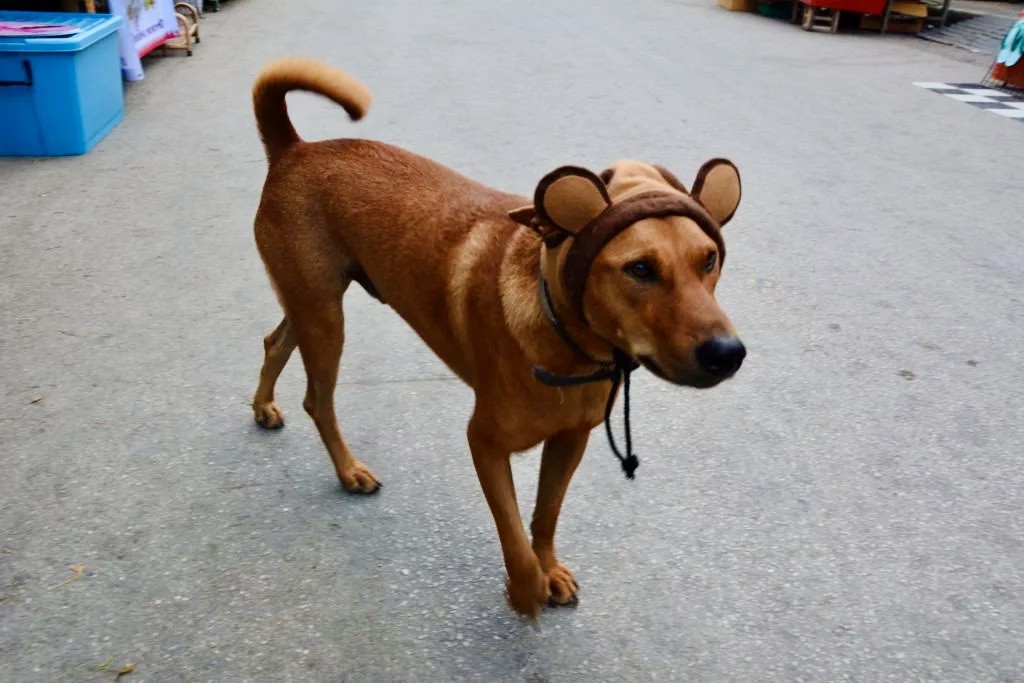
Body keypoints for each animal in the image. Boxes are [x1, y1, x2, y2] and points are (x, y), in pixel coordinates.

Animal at [247, 57, 745, 614]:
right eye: (640, 269)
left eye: (709, 259)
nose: (729, 354)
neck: (566, 342)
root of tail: (295, 149)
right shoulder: (484, 442)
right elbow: (513, 537)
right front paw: (527, 589)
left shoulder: (570, 440)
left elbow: (545, 515)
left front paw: (549, 568)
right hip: (324, 317)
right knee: (318, 399)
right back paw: (347, 469)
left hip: (310, 305)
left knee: (275, 342)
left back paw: (263, 406)